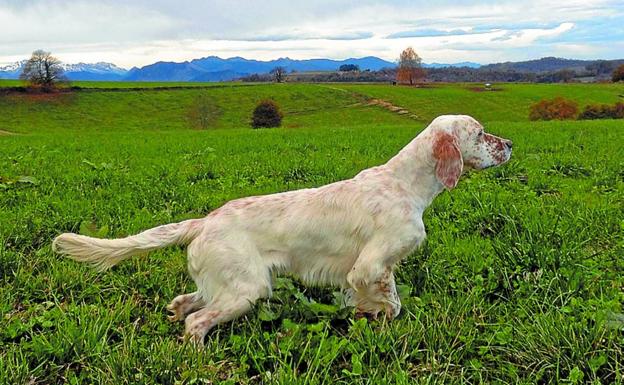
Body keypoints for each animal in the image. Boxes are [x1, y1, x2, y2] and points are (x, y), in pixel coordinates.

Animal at [52, 114, 512, 342]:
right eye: (480, 133)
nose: (510, 144)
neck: (406, 184)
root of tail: (205, 221)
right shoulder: (370, 265)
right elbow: (391, 302)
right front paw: (376, 317)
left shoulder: (372, 270)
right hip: (248, 288)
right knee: (195, 322)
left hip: (227, 283)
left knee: (184, 303)